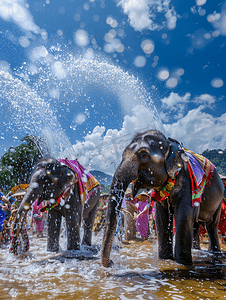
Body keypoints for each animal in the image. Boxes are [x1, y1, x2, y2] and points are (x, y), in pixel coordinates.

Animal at [101, 130, 224, 266]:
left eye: (144, 155)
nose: (112, 262)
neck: (169, 143)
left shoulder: (187, 182)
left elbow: (184, 217)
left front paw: (182, 263)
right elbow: (161, 218)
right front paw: (165, 259)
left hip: (219, 200)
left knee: (211, 225)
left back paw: (214, 253)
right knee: (196, 225)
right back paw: (197, 250)